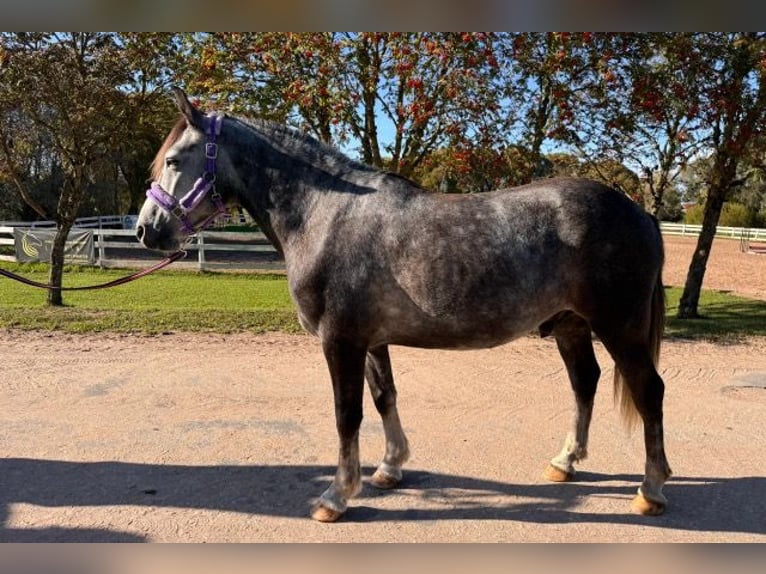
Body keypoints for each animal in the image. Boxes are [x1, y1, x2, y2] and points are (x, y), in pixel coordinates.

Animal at [136, 88, 672, 524]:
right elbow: (384, 397)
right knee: (586, 382)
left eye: (176, 160)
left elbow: (347, 413)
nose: (146, 229)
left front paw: (336, 496)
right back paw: (565, 462)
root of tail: (638, 211)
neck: (324, 215)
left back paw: (650, 490)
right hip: (570, 326)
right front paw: (390, 468)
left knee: (649, 392)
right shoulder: (371, 340)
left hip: (619, 327)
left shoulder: (341, 341)